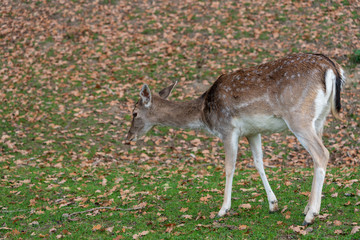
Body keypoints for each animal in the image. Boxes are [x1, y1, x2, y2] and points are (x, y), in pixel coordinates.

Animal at [126, 52, 346, 225]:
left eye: (134, 113)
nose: (128, 137)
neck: (204, 113)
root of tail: (332, 68)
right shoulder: (252, 131)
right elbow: (258, 162)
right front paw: (273, 204)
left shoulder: (228, 129)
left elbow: (229, 167)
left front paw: (223, 209)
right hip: (319, 119)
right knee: (316, 156)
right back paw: (307, 208)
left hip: (298, 116)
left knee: (322, 153)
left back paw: (311, 215)